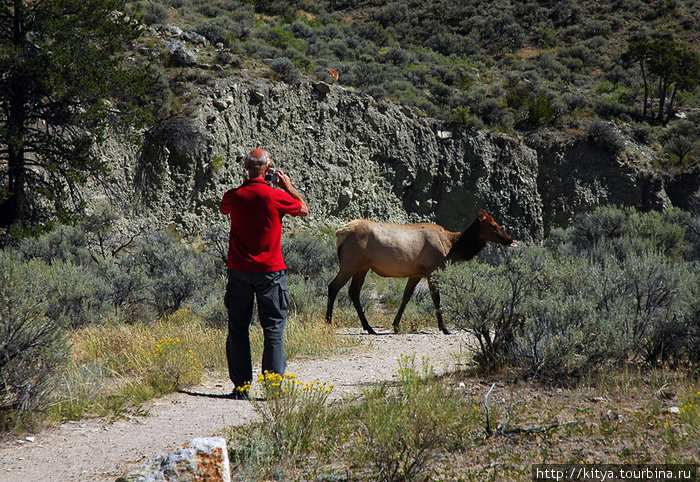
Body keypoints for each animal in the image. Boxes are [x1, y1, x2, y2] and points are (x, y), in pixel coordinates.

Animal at [326, 209, 516, 334]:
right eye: (493, 225)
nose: (509, 238)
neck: (451, 248)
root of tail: (339, 233)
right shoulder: (433, 270)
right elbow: (436, 299)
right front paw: (444, 328)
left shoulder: (416, 273)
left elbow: (405, 297)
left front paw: (396, 325)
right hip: (350, 263)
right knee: (333, 286)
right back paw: (328, 321)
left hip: (362, 267)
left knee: (353, 292)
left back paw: (369, 327)